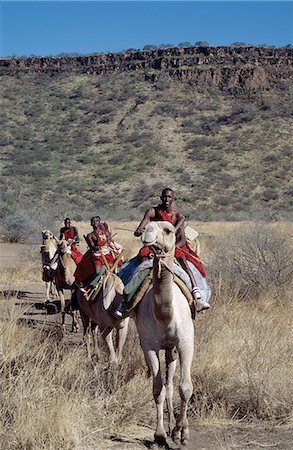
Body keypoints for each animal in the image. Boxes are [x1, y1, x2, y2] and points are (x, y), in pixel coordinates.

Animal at [135, 221, 194, 446]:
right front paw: (159, 435)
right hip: (164, 348)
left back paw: (174, 427)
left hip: (172, 349)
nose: (147, 233)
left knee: (172, 383)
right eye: (145, 227)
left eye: (168, 230)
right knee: (166, 386)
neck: (164, 316)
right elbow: (157, 389)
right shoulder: (149, 345)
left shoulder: (185, 342)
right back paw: (167, 427)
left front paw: (182, 432)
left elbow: (185, 387)